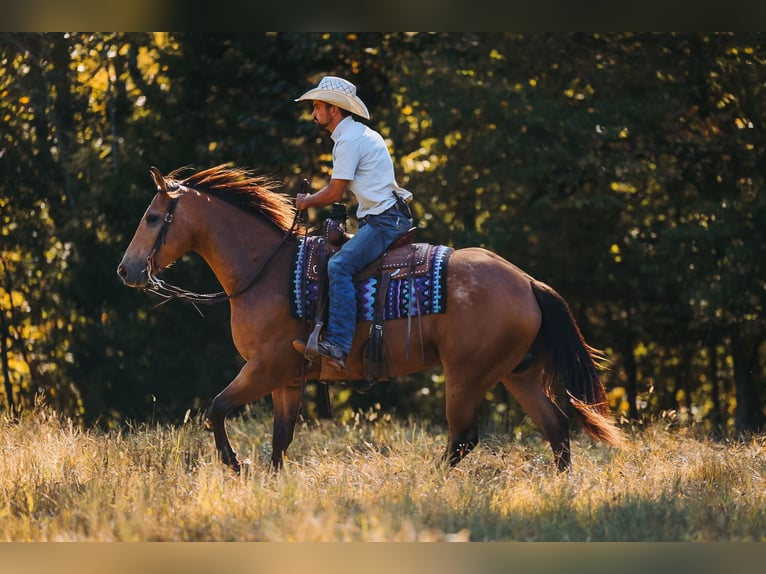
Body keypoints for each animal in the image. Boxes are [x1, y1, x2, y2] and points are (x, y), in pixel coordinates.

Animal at [117, 164, 624, 474]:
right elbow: (280, 438)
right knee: (555, 428)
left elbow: (216, 408)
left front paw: (235, 464)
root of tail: (527, 282)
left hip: (467, 374)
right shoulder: (288, 379)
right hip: (517, 374)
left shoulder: (264, 368)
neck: (267, 270)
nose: (126, 270)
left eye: (153, 217)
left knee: (463, 437)